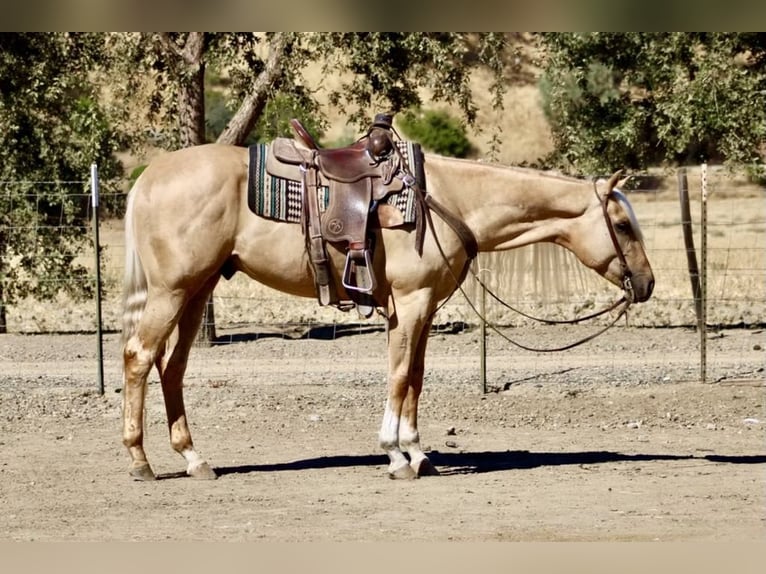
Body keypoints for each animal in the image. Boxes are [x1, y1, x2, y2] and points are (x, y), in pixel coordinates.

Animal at [123, 144, 656, 482]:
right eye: (622, 224)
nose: (648, 283)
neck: (446, 199)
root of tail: (145, 180)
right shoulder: (410, 302)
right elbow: (399, 376)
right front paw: (395, 455)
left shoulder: (425, 308)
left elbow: (416, 377)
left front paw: (419, 453)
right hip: (172, 291)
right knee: (138, 357)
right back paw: (140, 462)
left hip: (198, 291)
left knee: (172, 368)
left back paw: (195, 459)